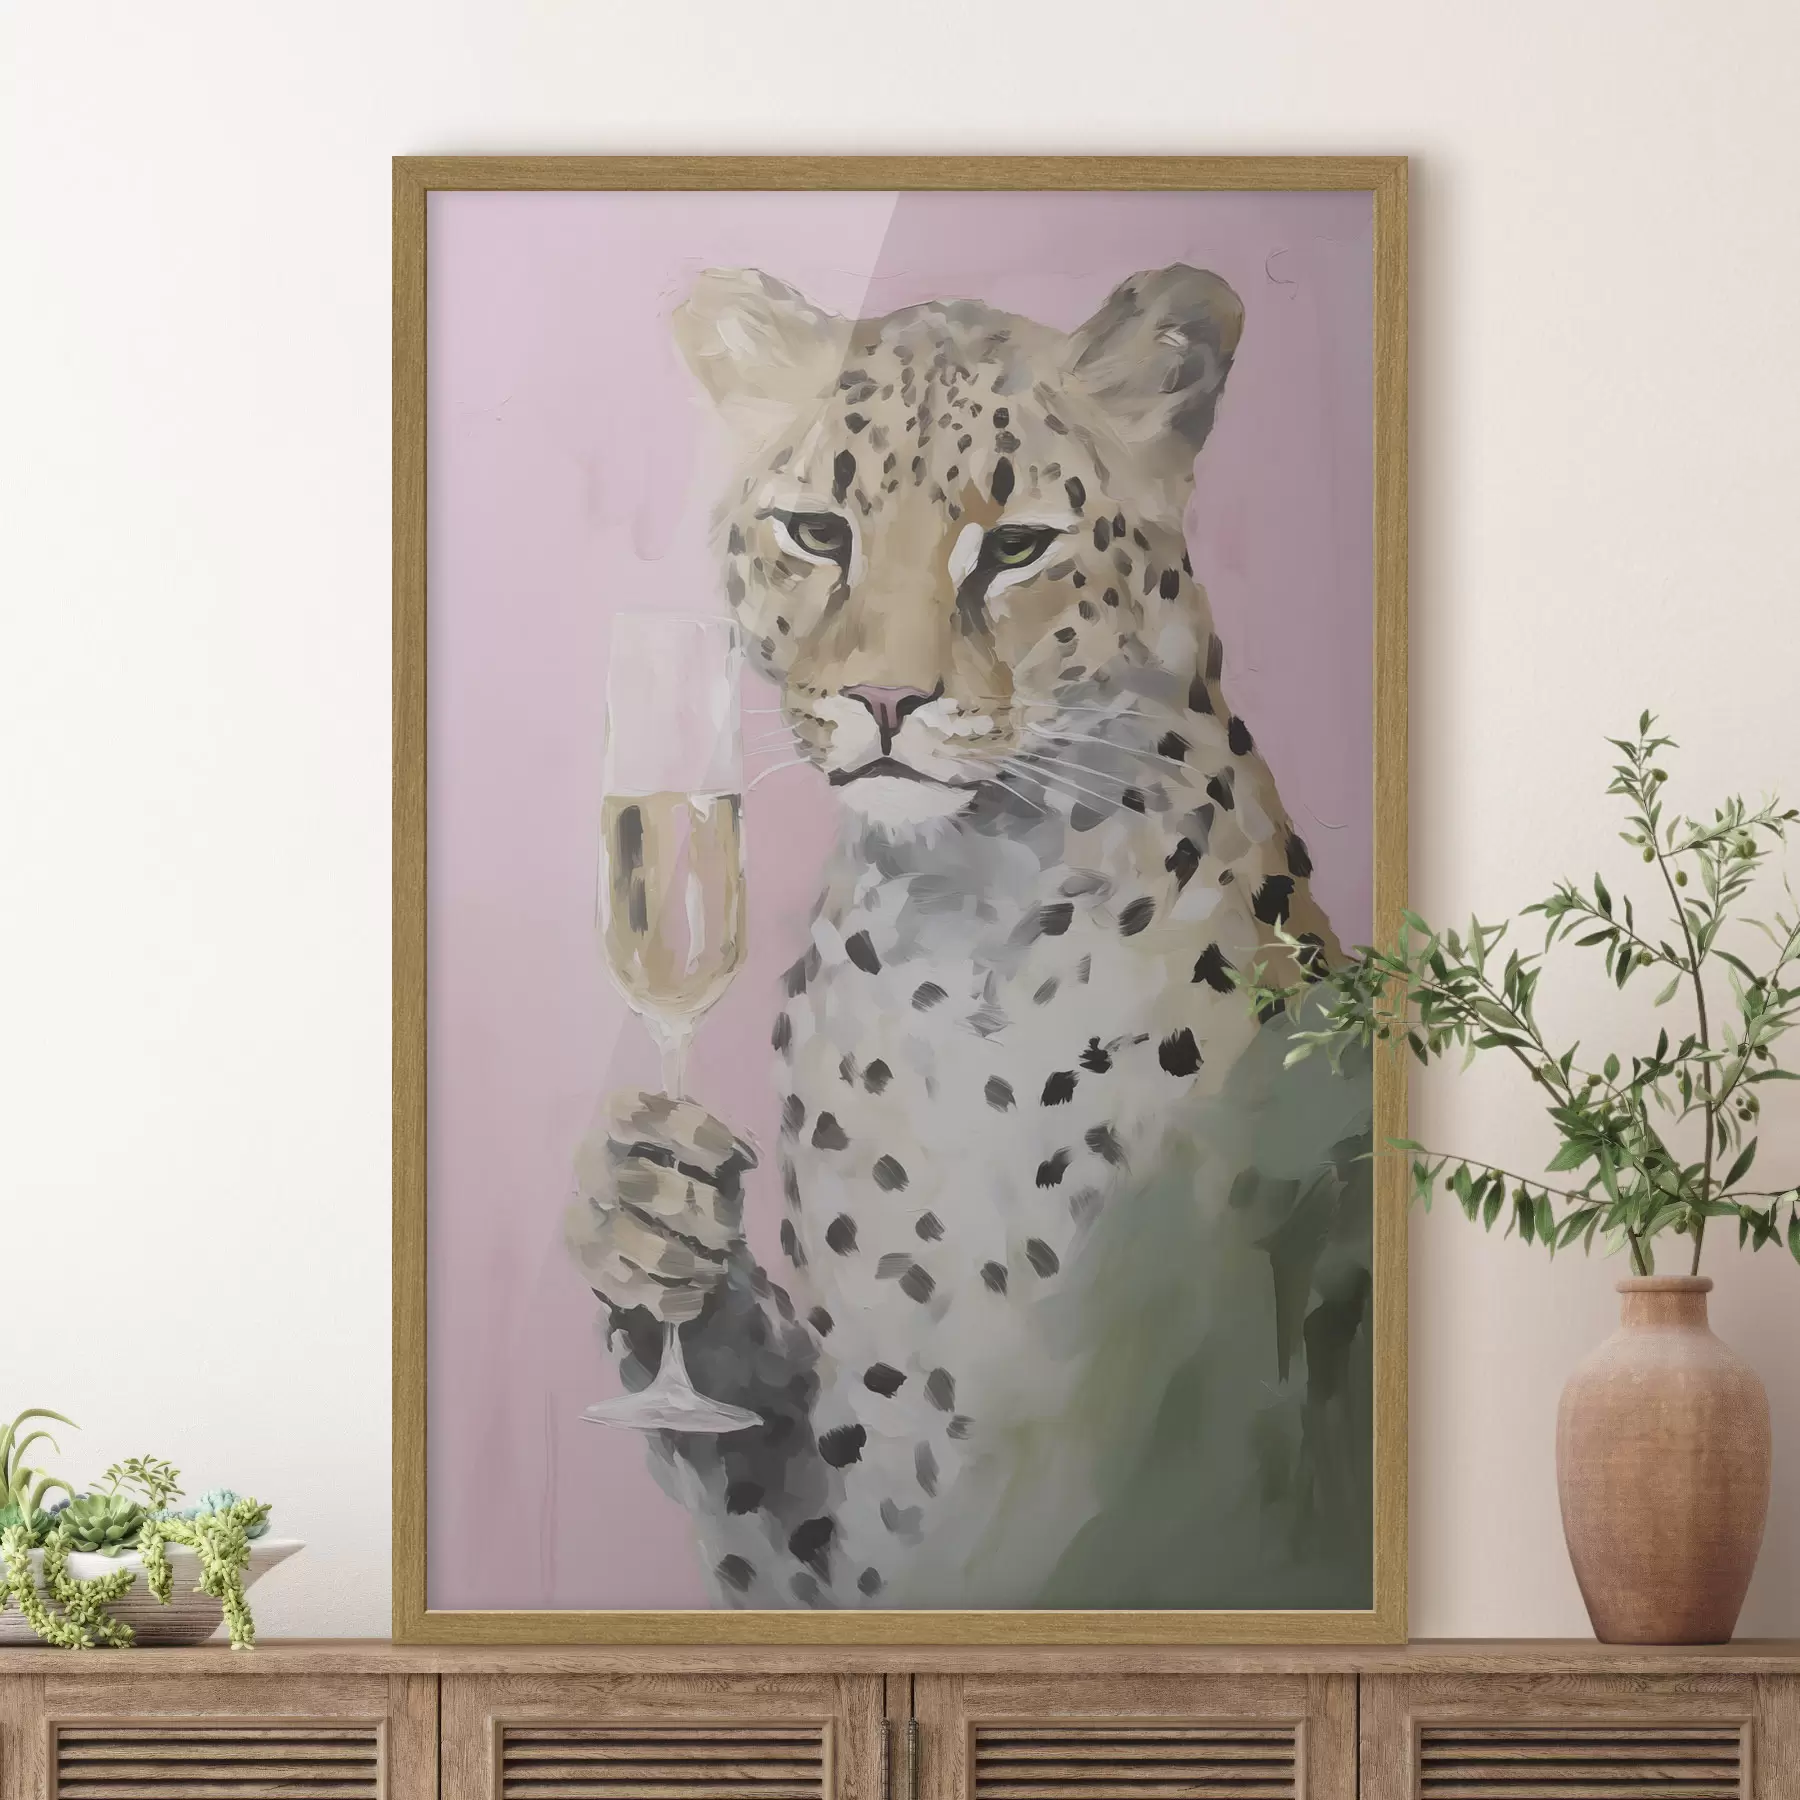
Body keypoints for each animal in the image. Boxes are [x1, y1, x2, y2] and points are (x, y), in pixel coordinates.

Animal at [565, 263, 1375, 1611]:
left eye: (1015, 546)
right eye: (818, 533)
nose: (886, 701)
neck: (962, 928)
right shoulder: (862, 1507)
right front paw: (643, 1218)